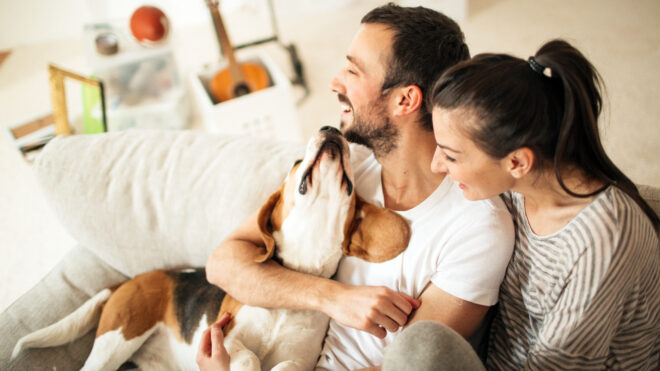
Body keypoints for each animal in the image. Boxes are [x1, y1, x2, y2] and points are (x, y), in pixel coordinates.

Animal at [12, 126, 410, 370]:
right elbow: (248, 357)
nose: (331, 129)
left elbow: (286, 363)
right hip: (117, 339)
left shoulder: (300, 360)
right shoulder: (224, 336)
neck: (296, 281)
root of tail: (132, 280)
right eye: (297, 162)